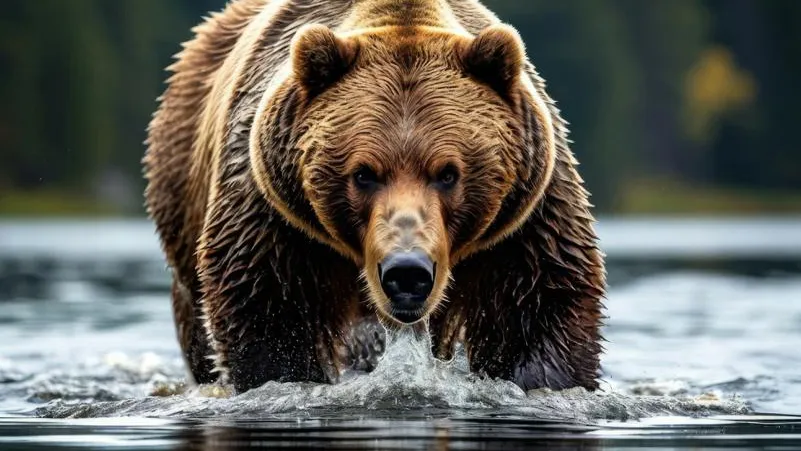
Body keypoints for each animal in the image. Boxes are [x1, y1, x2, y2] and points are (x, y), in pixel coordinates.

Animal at [143, 0, 606, 395]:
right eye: (363, 173)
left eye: (448, 173)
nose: (408, 272)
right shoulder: (274, 217)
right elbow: (268, 312)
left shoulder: (523, 222)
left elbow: (537, 308)